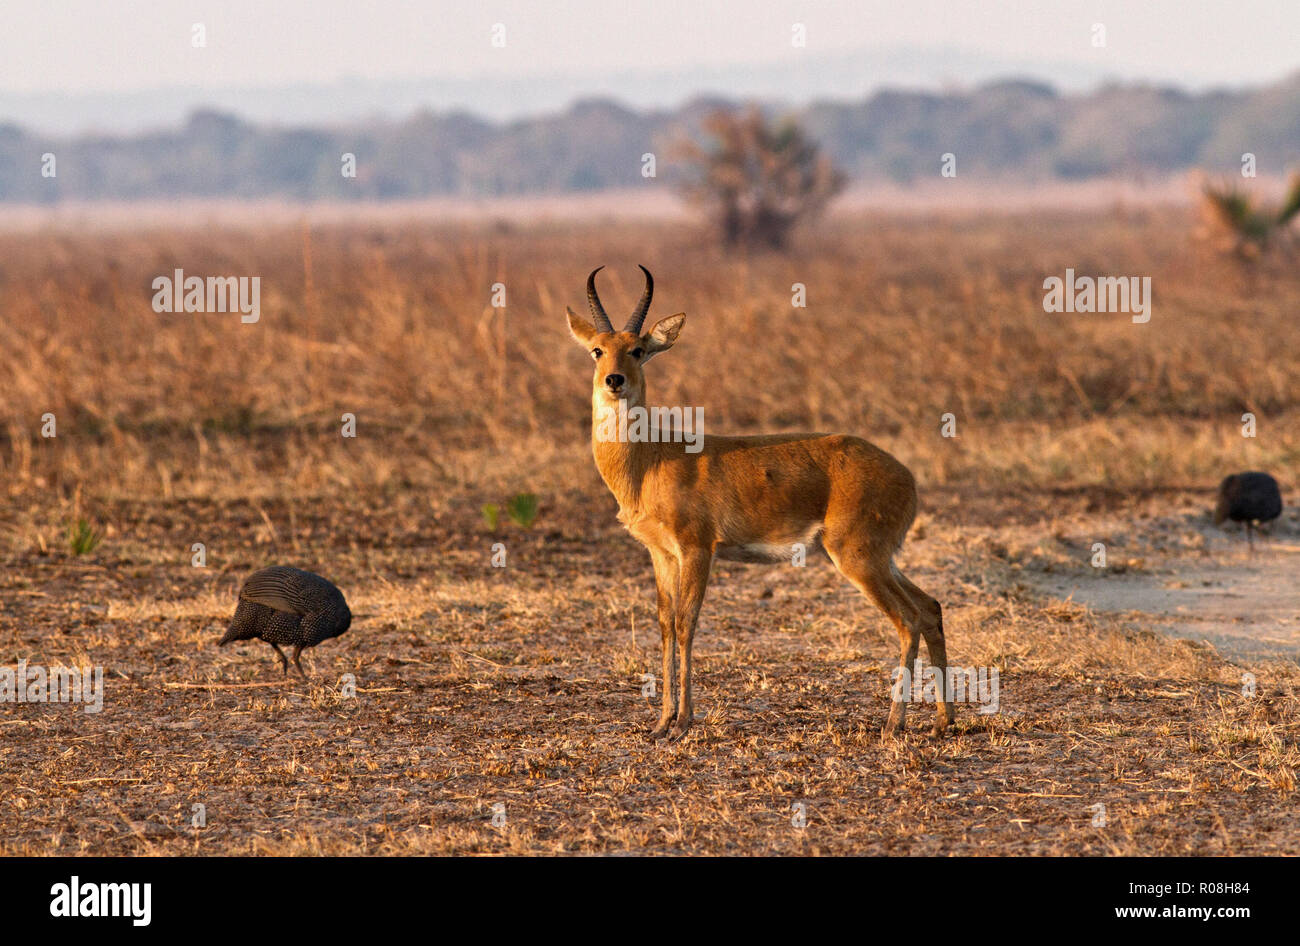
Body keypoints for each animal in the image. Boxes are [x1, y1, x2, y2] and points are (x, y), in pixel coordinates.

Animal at [564, 263, 951, 738]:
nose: (614, 381)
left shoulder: (697, 549)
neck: (649, 459)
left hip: (857, 558)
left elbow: (687, 623)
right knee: (930, 608)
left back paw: (893, 724)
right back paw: (945, 720)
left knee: (907, 620)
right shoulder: (661, 554)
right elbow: (665, 624)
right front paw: (661, 722)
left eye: (637, 350)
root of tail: (907, 476)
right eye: (597, 350)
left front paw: (683, 722)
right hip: (883, 559)